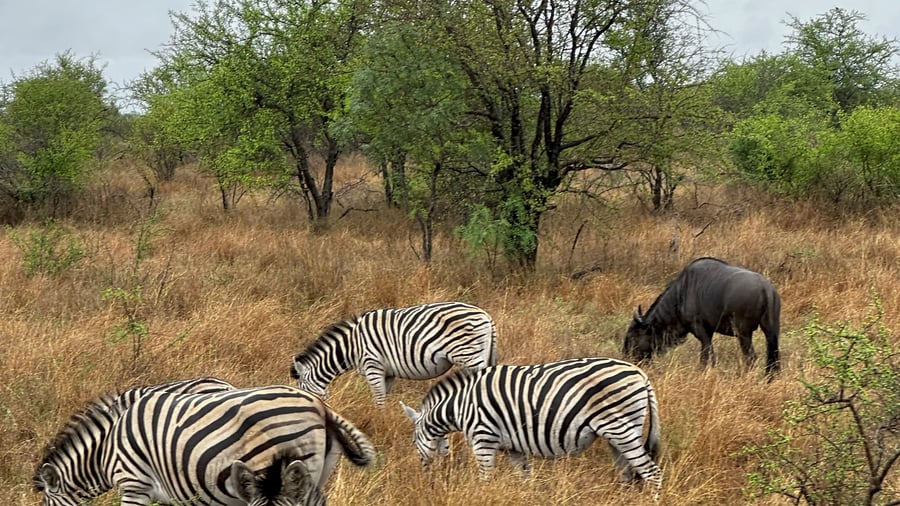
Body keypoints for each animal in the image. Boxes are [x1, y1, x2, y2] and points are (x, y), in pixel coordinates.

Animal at [291, 301, 498, 406]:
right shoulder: (387, 373)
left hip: (469, 357)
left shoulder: (372, 365)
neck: (351, 347)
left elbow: (378, 400)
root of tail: (486, 316)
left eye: (302, 391)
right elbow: (384, 397)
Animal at [401, 357, 663, 500]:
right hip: (617, 435)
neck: (460, 406)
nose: (426, 476)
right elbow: (524, 478)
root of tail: (640, 373)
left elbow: (485, 478)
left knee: (652, 472)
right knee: (627, 472)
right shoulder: (512, 447)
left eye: (413, 442)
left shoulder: (483, 439)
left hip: (621, 428)